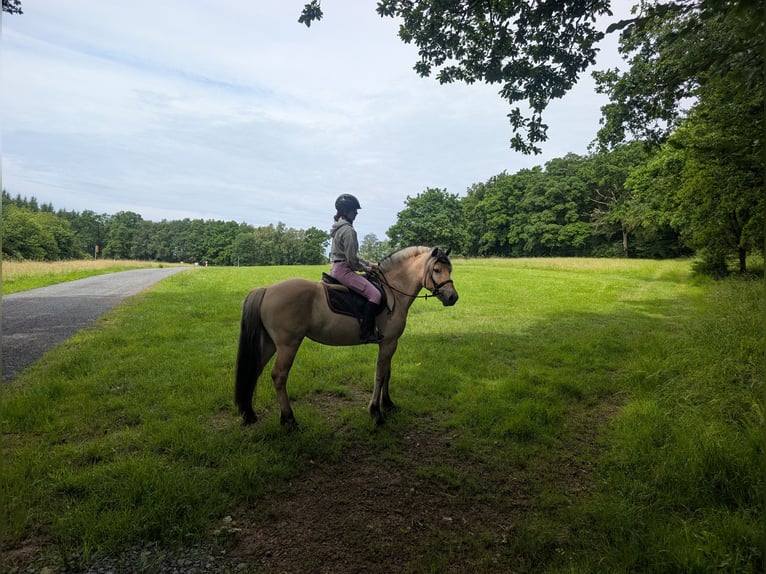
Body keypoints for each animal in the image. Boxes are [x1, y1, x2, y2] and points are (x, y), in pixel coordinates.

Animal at [234, 246, 459, 429]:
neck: (393, 290)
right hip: (288, 345)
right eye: (437, 270)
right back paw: (289, 419)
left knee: (254, 371)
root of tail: (267, 290)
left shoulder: (389, 343)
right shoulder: (388, 343)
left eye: (450, 270)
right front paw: (376, 412)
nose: (453, 297)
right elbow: (380, 375)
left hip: (270, 344)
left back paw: (249, 413)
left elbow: (387, 373)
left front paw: (388, 404)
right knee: (279, 376)